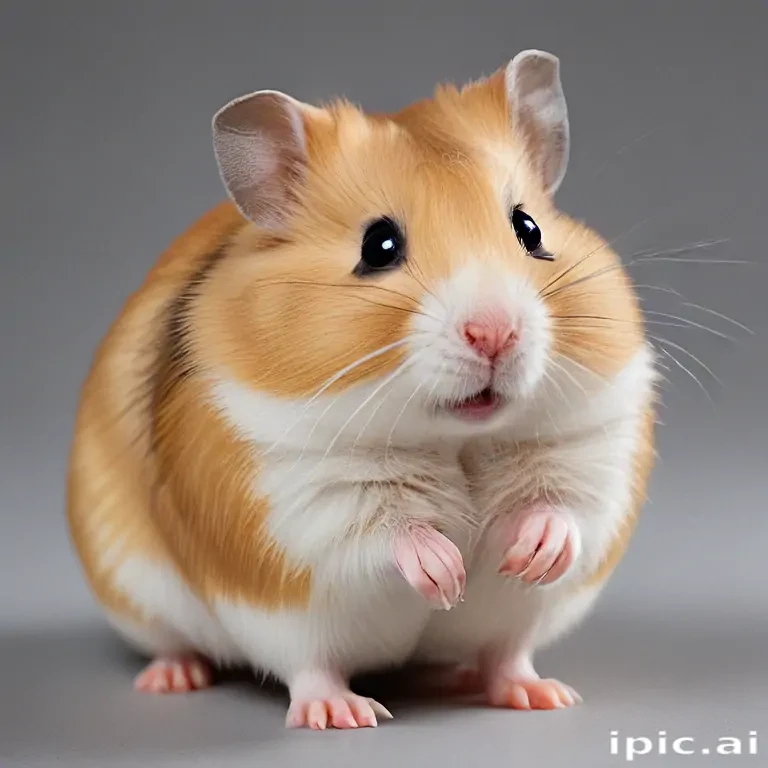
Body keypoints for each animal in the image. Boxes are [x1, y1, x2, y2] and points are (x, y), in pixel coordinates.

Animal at [67, 48, 657, 729]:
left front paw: (530, 555)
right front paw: (448, 575)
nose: (495, 333)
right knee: (297, 668)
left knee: (505, 655)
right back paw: (305, 705)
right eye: (379, 245)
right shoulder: (297, 496)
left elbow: (564, 509)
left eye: (529, 228)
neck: (455, 436)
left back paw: (537, 694)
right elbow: (384, 534)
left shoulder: (595, 446)